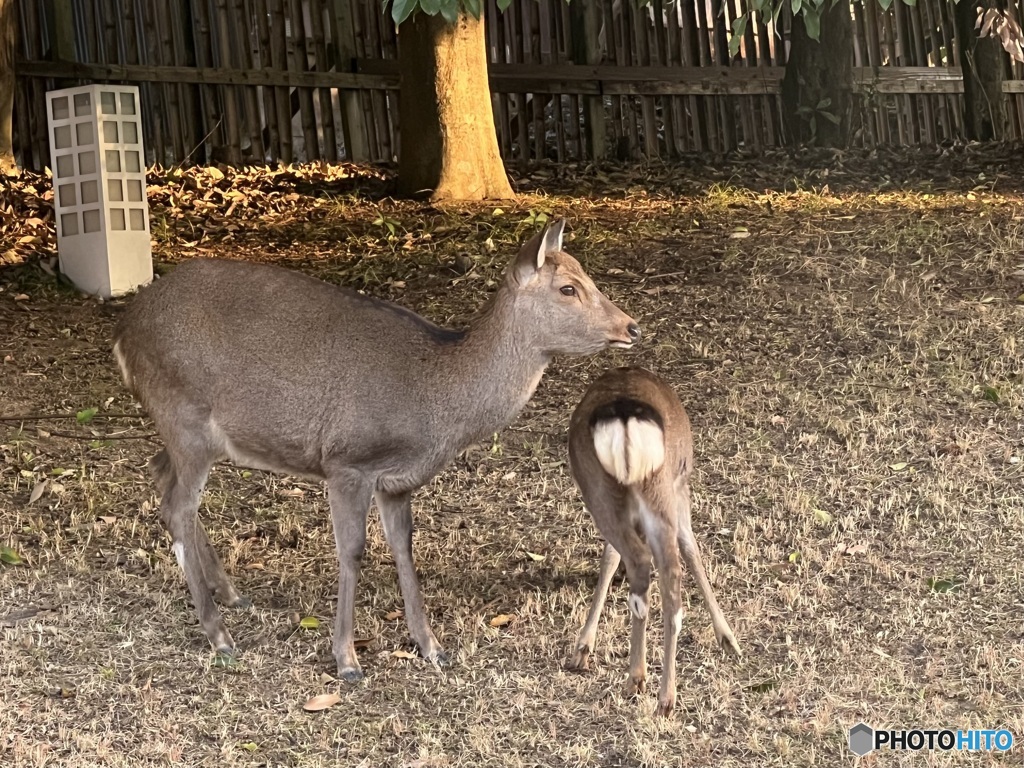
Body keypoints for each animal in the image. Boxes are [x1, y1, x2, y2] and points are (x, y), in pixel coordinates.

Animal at [114, 219, 638, 684]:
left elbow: (404, 547)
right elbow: (352, 551)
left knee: (161, 475)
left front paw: (432, 646)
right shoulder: (347, 462)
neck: (435, 405)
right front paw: (347, 660)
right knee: (177, 506)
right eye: (568, 288)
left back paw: (230, 593)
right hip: (184, 416)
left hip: (189, 433)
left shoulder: (397, 481)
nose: (631, 326)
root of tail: (124, 332)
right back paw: (219, 633)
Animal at [565, 366, 741, 716]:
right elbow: (686, 549)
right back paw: (664, 694)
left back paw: (637, 678)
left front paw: (584, 645)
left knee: (642, 562)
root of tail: (624, 416)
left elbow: (612, 557)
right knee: (667, 573)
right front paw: (727, 637)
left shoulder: (676, 489)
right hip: (656, 491)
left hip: (609, 492)